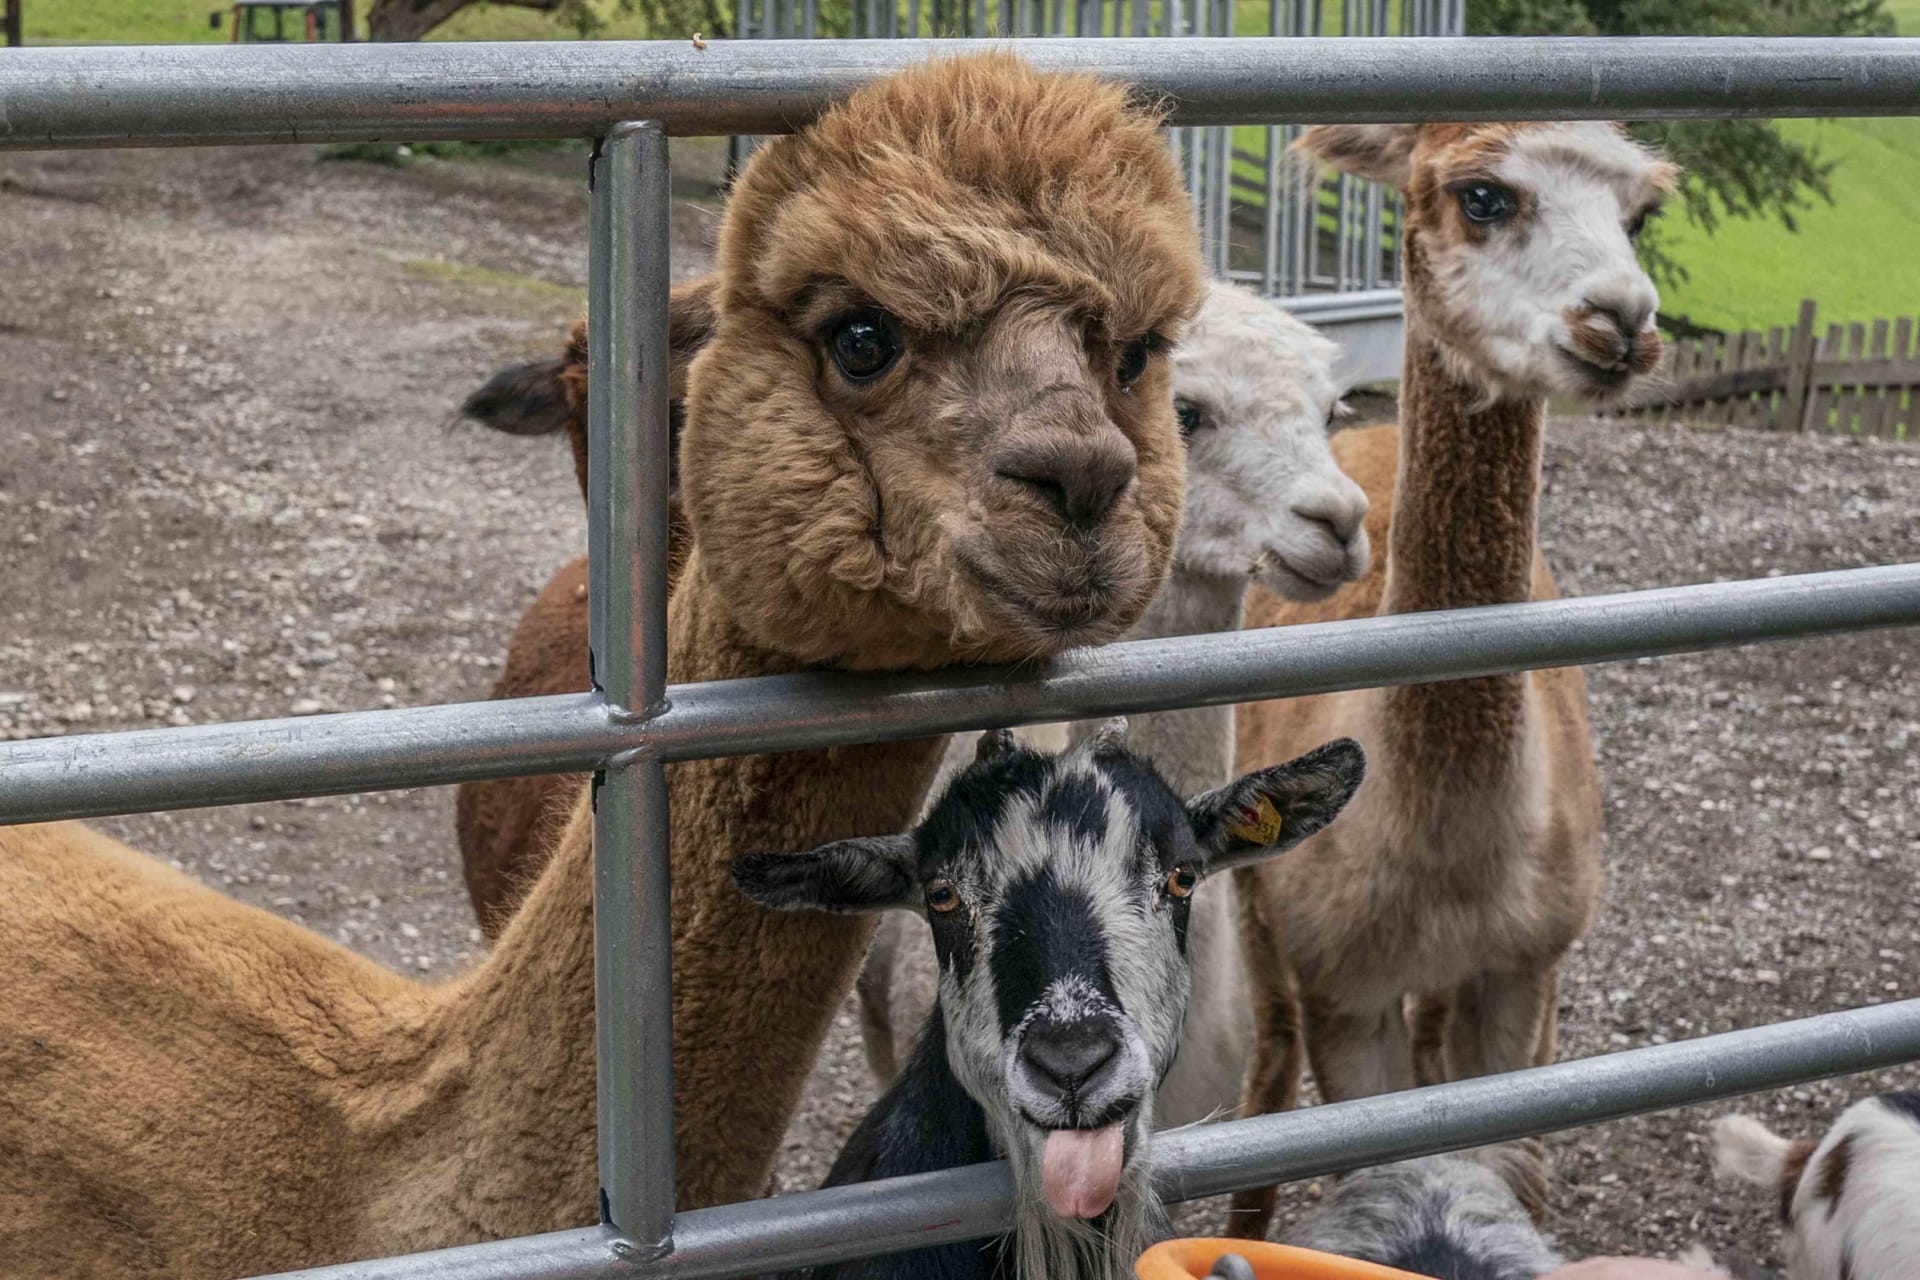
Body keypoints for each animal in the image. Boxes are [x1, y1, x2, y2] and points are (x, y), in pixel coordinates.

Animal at [1223, 121, 1676, 1236]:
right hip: (1256, 891)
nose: (1623, 319)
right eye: (1484, 196)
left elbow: (1505, 1169)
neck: (1450, 852)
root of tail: (1375, 428)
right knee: (1268, 1061)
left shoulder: (1526, 966)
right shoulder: (1342, 983)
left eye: (1640, 216)